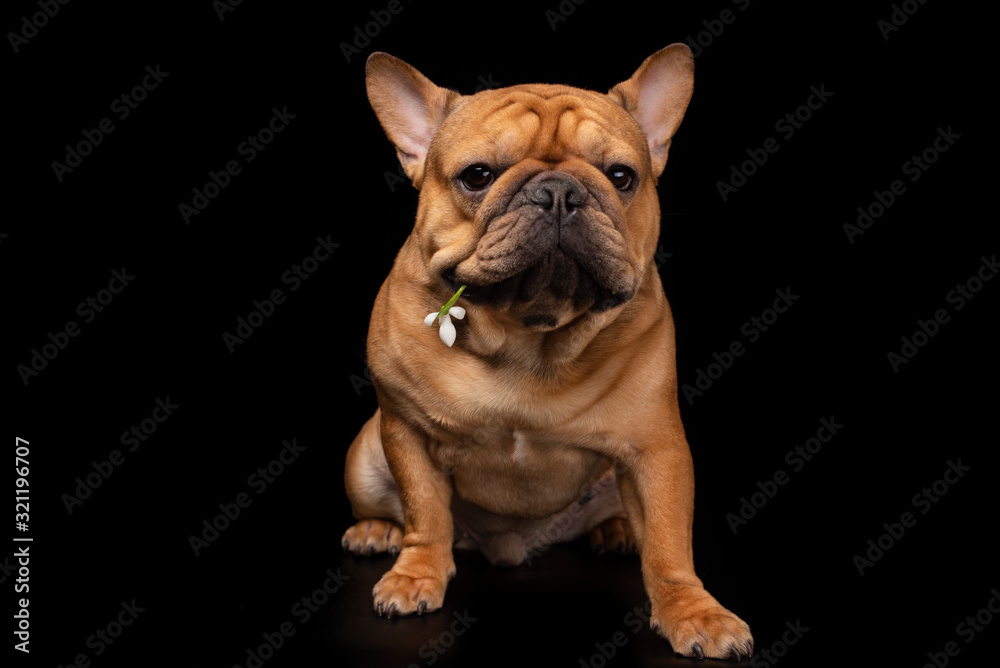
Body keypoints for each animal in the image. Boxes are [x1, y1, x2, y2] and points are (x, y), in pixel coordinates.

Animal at [340, 44, 752, 660]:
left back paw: (617, 531)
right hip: (365, 456)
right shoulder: (406, 432)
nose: (559, 192)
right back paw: (375, 531)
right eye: (477, 175)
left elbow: (669, 545)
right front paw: (416, 575)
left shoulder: (657, 450)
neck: (527, 332)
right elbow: (426, 513)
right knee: (393, 507)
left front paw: (693, 612)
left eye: (622, 176)